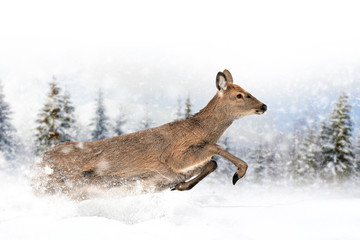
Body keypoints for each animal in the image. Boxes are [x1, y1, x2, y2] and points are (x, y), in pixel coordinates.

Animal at [35, 69, 268, 197]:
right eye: (240, 95)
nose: (264, 106)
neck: (196, 130)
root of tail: (37, 162)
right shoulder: (174, 157)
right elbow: (215, 149)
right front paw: (239, 173)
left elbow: (212, 163)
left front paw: (180, 186)